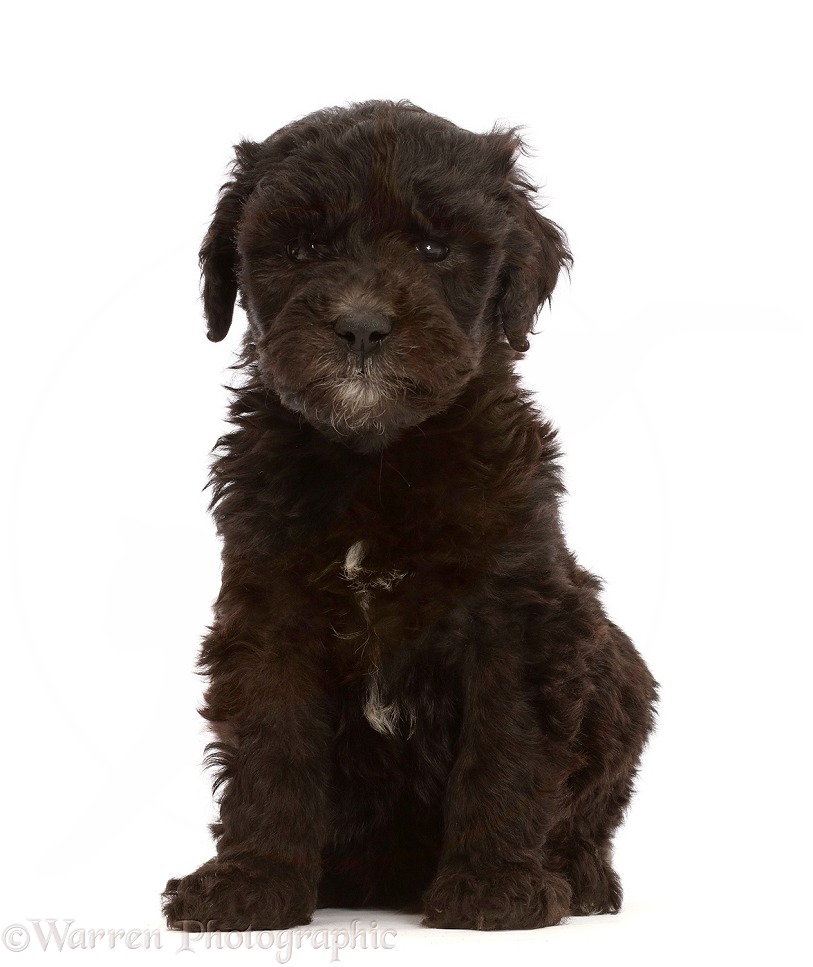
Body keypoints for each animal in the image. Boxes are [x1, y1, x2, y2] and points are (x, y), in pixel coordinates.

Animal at [162, 98, 656, 932]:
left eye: (433, 247)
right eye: (303, 248)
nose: (361, 325)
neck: (376, 456)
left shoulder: (519, 615)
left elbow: (506, 745)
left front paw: (492, 885)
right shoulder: (268, 610)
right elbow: (270, 745)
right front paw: (251, 881)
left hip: (616, 663)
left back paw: (580, 876)